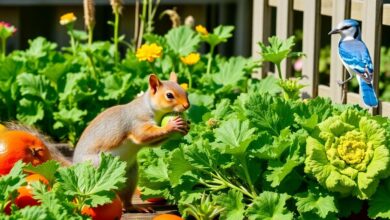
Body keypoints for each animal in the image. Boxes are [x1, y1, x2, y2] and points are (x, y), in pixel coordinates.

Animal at [72, 72, 190, 211]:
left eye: (186, 92)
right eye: (169, 95)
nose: (187, 106)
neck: (150, 108)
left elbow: (151, 143)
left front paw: (186, 127)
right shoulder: (137, 122)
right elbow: (143, 135)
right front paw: (171, 126)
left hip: (130, 176)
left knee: (126, 198)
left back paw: (134, 207)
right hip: (95, 168)